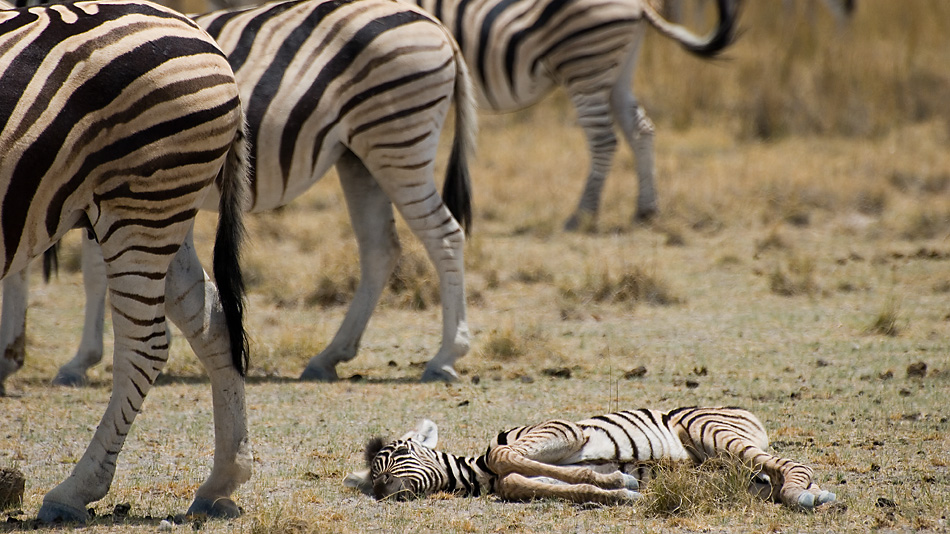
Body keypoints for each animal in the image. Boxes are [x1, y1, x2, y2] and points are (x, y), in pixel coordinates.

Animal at [0, 0, 476, 390]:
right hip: (358, 156)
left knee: (444, 236)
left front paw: (78, 360)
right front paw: (14, 354)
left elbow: (92, 274)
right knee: (380, 248)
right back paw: (330, 356)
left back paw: (445, 357)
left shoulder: (102, 185)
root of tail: (435, 24)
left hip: (397, 139)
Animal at [0, 0, 253, 524]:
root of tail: (205, 38)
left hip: (137, 206)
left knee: (145, 346)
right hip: (167, 213)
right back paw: (221, 481)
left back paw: (73, 491)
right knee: (215, 322)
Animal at [410, 0, 744, 229]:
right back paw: (645, 209)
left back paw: (582, 215)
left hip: (585, 63)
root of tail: (640, 5)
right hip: (618, 69)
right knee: (641, 129)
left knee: (604, 140)